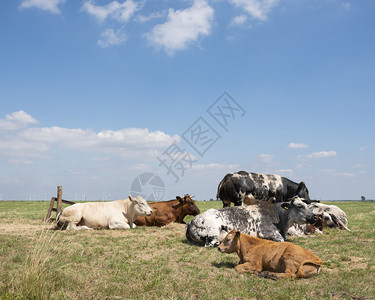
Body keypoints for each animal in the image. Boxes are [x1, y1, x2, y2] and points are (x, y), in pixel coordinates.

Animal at [185, 196, 318, 247]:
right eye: (300, 206)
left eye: (307, 205)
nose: (315, 217)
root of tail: (191, 222)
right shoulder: (266, 231)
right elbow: (281, 240)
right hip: (213, 232)